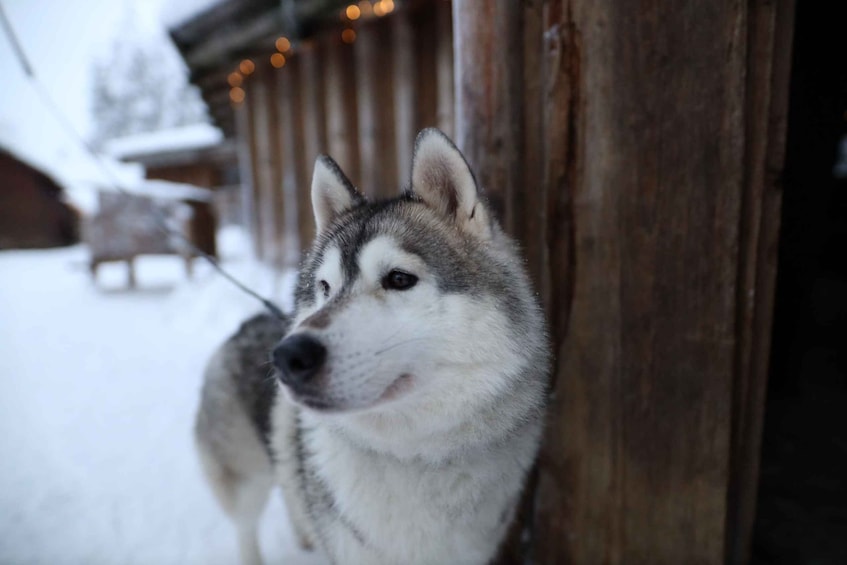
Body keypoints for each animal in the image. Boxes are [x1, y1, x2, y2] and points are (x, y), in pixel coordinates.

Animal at [194, 129, 548, 564]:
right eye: (325, 288)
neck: (413, 456)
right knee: (246, 527)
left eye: (399, 279)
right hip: (243, 481)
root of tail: (251, 321)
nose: (287, 356)